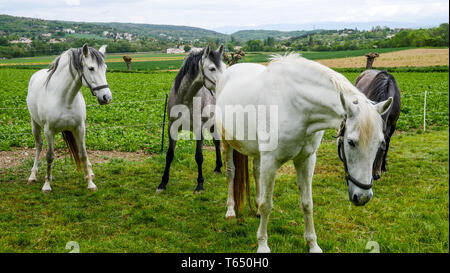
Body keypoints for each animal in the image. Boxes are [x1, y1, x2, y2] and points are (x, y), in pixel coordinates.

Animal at [26, 43, 111, 191]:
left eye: (105, 69)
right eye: (91, 68)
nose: (107, 97)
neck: (65, 98)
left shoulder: (80, 128)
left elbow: (83, 154)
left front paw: (90, 183)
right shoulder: (49, 131)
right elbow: (50, 156)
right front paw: (47, 185)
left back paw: (89, 172)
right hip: (35, 124)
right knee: (39, 146)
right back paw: (33, 175)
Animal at [158, 45, 227, 193]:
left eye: (224, 66)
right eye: (212, 68)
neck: (185, 99)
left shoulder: (198, 129)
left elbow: (199, 157)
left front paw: (200, 184)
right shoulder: (172, 128)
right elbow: (169, 155)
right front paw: (163, 182)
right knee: (216, 142)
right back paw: (218, 167)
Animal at [216, 53, 392, 253]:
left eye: (380, 143)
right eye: (351, 142)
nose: (362, 197)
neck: (294, 104)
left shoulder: (306, 160)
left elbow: (307, 203)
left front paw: (313, 245)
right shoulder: (271, 161)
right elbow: (268, 204)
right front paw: (262, 244)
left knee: (256, 171)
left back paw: (256, 209)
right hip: (226, 143)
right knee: (231, 173)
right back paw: (230, 210)